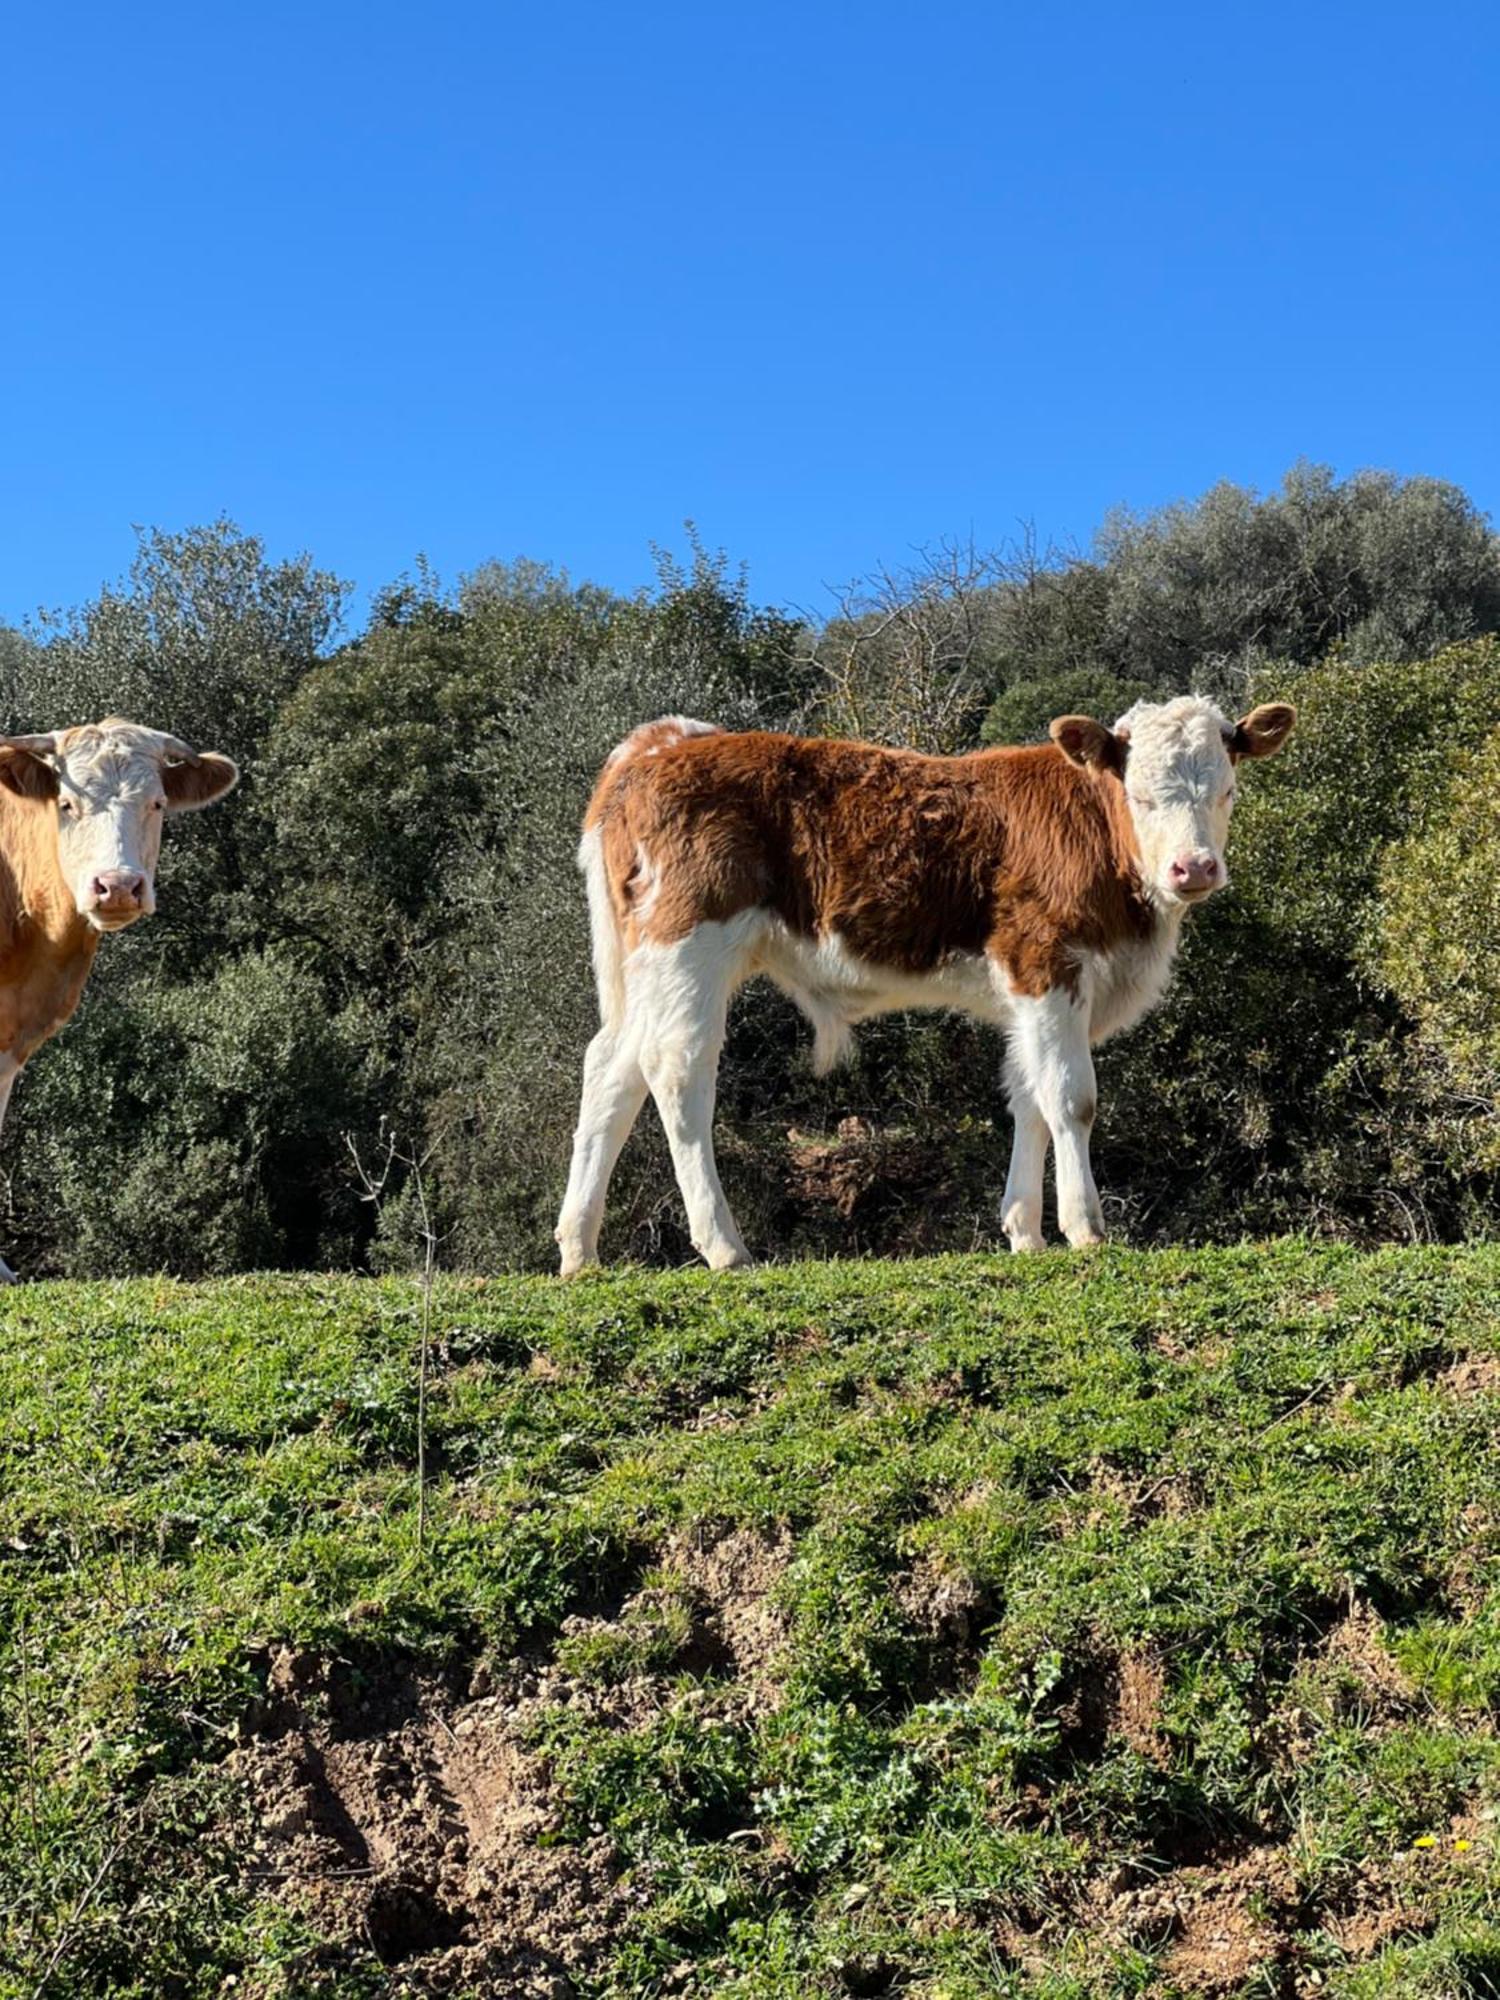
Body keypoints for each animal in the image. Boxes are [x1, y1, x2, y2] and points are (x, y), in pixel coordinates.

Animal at [560, 696, 1296, 1272]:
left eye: (1227, 791)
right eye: (1140, 795)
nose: (1193, 868)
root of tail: (663, 745)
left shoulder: (1028, 991)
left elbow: (1027, 1094)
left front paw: (1025, 1231)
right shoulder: (1045, 962)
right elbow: (1070, 1098)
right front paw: (1084, 1226)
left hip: (648, 967)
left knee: (611, 1071)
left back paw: (579, 1250)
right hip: (691, 946)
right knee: (676, 1073)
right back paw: (723, 1245)